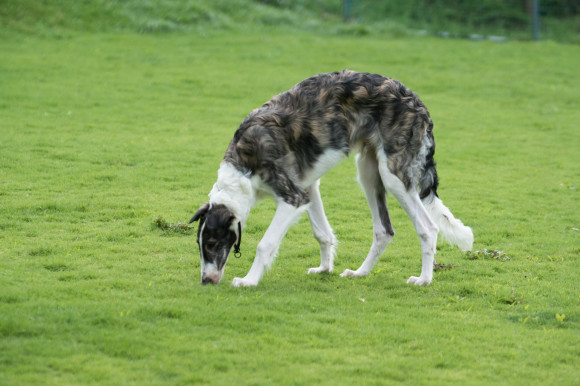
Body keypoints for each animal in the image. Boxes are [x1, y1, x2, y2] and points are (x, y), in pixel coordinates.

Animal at [188, 70, 474, 286]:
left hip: (393, 176)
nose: (206, 281)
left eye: (212, 243)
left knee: (428, 228)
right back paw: (360, 272)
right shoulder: (308, 189)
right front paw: (324, 269)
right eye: (200, 243)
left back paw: (424, 280)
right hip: (368, 172)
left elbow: (265, 244)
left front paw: (248, 281)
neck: (244, 167)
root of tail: (417, 101)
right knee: (384, 230)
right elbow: (321, 233)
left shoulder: (292, 197)